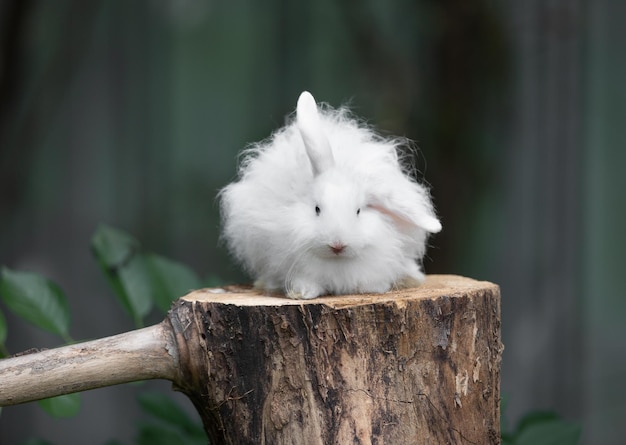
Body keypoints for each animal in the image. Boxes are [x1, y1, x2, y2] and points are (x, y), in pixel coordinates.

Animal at [218, 90, 438, 298]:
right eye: (317, 209)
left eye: (358, 211)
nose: (337, 245)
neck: (336, 263)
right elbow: (306, 283)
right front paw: (302, 293)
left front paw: (372, 288)